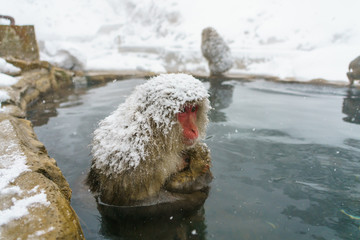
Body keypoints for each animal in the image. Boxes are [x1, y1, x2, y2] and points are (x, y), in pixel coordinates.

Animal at [86, 73, 212, 206]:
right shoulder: (139, 165)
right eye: (183, 111)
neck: (155, 133)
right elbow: (144, 201)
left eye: (193, 109)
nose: (194, 130)